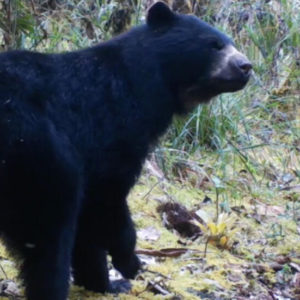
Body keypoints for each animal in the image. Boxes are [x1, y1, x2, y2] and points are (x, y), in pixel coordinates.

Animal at [0, 2, 251, 300]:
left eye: (230, 43)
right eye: (214, 45)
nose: (246, 66)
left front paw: (105, 282)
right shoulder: (115, 130)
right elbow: (108, 196)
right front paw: (129, 265)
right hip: (37, 153)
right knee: (50, 233)